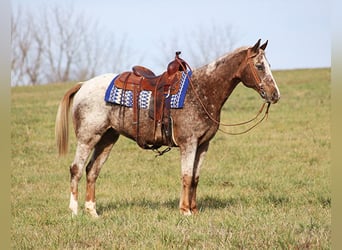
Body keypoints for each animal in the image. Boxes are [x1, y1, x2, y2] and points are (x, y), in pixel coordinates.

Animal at [55, 38, 280, 217]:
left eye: (269, 64)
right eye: (259, 66)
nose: (275, 94)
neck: (202, 91)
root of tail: (83, 85)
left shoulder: (203, 145)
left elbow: (195, 178)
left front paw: (194, 210)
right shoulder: (189, 144)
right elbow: (186, 176)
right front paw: (185, 211)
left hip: (107, 138)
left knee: (92, 171)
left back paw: (92, 212)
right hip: (87, 138)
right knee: (76, 169)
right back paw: (74, 211)